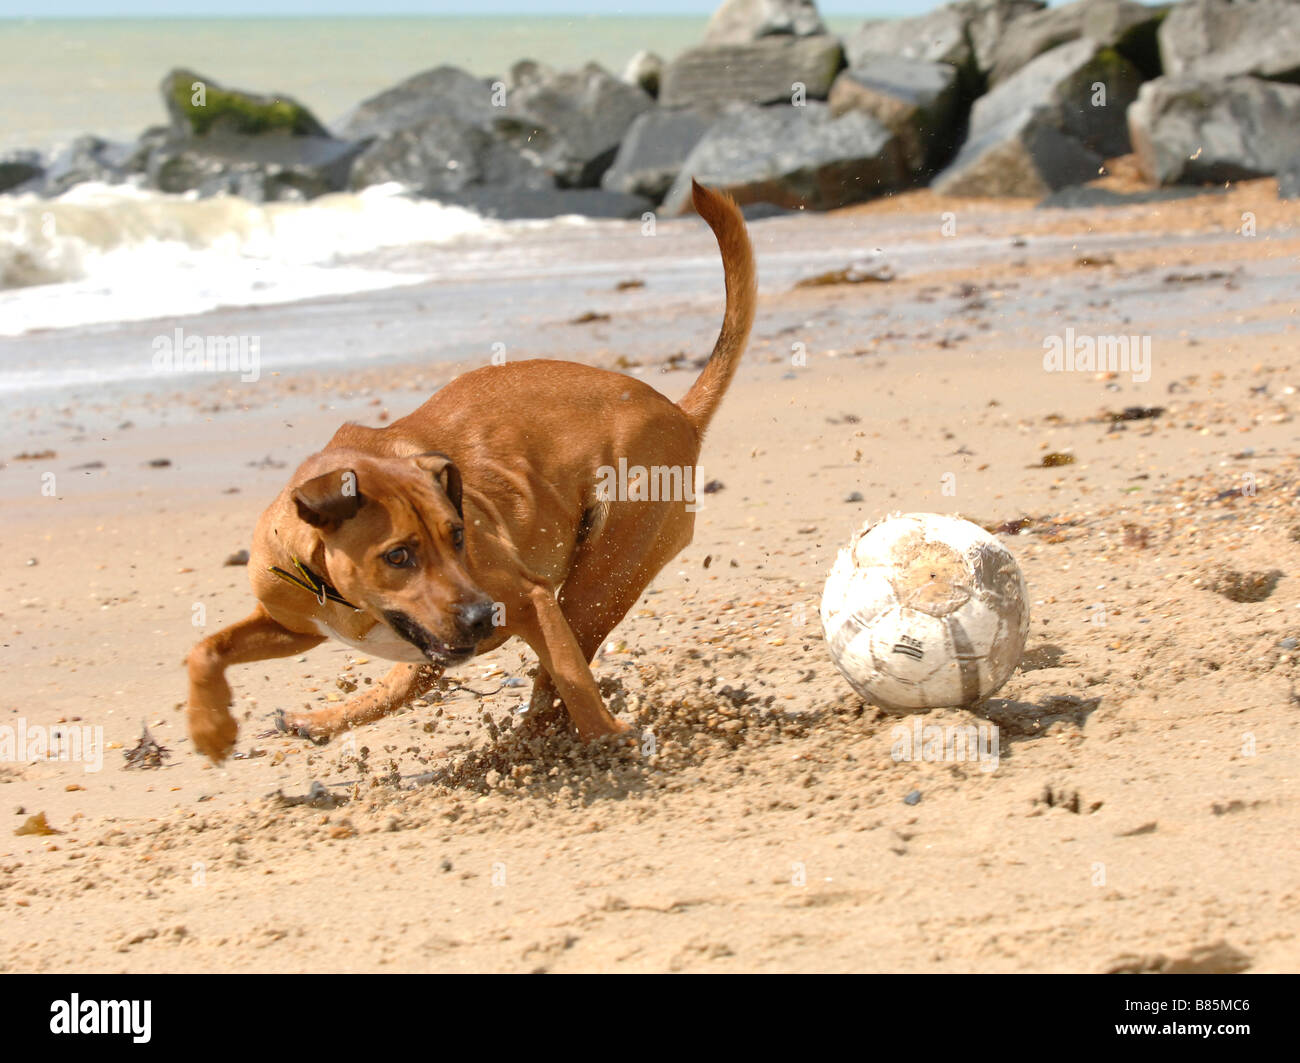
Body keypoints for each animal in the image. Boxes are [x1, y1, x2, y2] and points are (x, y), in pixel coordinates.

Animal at [182, 181, 754, 764]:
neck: (337, 589)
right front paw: (211, 728)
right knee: (418, 680)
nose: (482, 617)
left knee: (552, 678)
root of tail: (679, 413)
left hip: (600, 581)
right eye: (398, 556)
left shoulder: (526, 600)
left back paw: (540, 741)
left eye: (458, 535)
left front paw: (609, 739)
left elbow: (572, 680)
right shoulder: (290, 622)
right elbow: (207, 648)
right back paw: (324, 720)